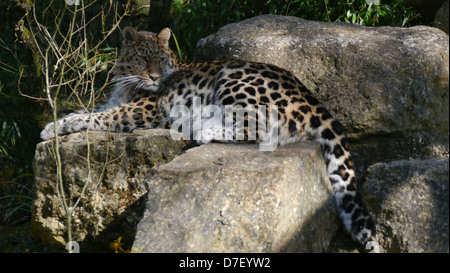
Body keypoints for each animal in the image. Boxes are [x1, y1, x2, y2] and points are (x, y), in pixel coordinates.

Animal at [40, 26, 374, 244]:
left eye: (161, 59)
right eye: (142, 58)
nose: (155, 77)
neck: (126, 82)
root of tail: (313, 99)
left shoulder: (144, 109)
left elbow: (98, 117)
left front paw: (57, 127)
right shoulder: (114, 101)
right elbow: (86, 110)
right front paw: (55, 124)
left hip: (236, 77)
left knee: (262, 129)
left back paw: (201, 128)